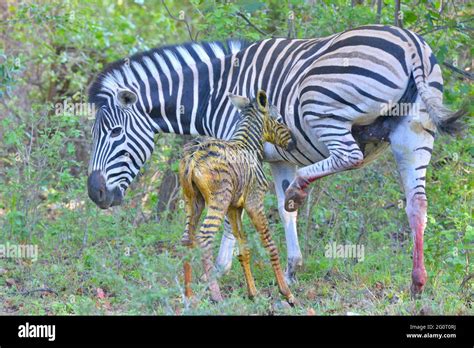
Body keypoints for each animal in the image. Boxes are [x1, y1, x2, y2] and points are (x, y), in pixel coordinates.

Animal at [179, 91, 294, 304]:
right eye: (280, 119)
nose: (294, 142)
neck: (250, 147)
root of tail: (193, 156)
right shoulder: (254, 202)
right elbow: (270, 245)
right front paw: (287, 293)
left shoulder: (235, 208)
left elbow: (243, 250)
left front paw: (253, 293)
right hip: (218, 200)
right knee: (204, 238)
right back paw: (216, 296)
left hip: (193, 202)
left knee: (187, 239)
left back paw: (189, 296)